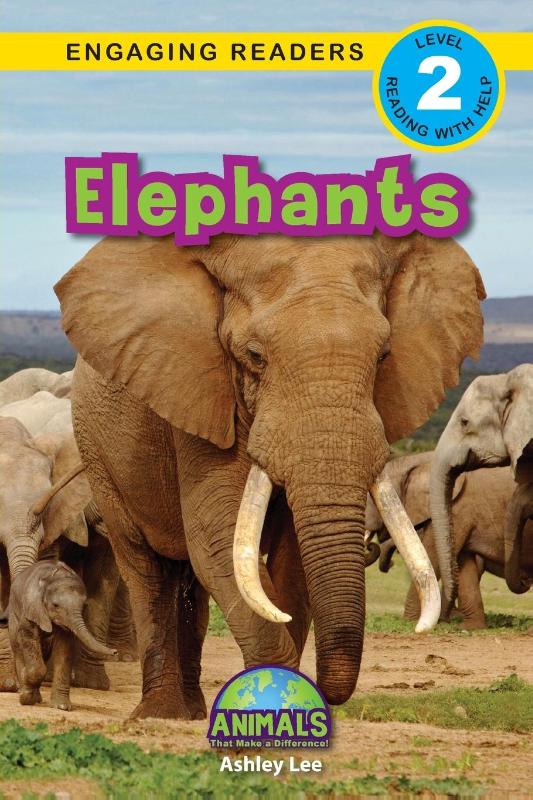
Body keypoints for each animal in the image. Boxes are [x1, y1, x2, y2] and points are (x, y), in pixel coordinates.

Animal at [8, 560, 117, 710]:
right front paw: (26, 698)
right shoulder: (31, 606)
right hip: (14, 615)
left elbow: (65, 647)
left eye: (83, 606)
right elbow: (28, 636)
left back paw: (36, 697)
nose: (115, 651)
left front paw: (62, 707)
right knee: (18, 648)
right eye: (55, 605)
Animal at [54, 232, 485, 718]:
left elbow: (289, 560)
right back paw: (161, 715)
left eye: (384, 356)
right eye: (254, 356)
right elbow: (218, 537)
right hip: (98, 454)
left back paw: (193, 710)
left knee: (191, 581)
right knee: (147, 570)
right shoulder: (200, 392)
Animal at [367, 452, 533, 628]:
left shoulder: (456, 508)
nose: (390, 563)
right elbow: (463, 562)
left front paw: (410, 622)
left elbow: (433, 556)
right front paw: (469, 628)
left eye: (373, 498)